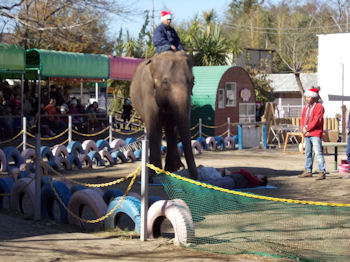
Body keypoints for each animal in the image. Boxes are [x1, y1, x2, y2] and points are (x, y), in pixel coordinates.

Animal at [131, 51, 198, 180]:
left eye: (193, 83)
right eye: (165, 82)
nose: (195, 177)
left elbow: (171, 127)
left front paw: (170, 170)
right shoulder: (148, 93)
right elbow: (154, 125)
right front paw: (155, 174)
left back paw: (178, 167)